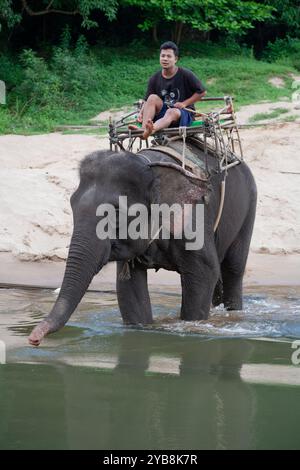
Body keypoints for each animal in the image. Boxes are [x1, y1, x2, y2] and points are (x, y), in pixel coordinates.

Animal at [28, 145, 256, 346]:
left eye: (116, 213)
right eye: (72, 205)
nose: (33, 339)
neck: (149, 166)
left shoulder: (192, 218)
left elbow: (203, 272)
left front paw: (191, 329)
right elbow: (129, 287)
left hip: (249, 204)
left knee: (233, 269)